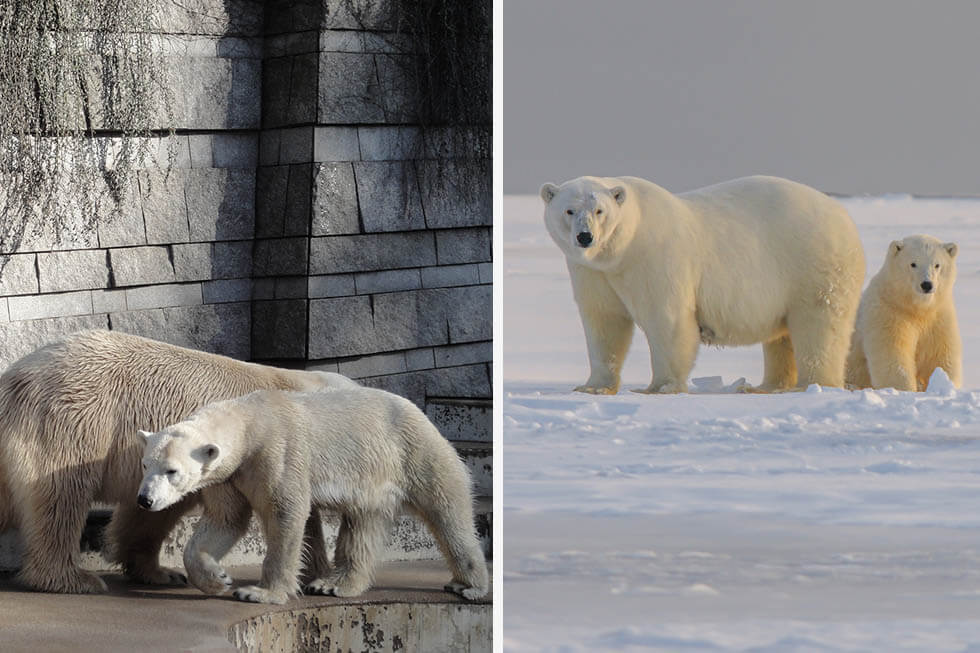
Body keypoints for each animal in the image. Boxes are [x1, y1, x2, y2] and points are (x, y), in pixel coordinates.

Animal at [0, 328, 356, 592]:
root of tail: (13, 381)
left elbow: (153, 512)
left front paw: (158, 571)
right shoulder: (233, 452)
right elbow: (232, 510)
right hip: (72, 423)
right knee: (60, 498)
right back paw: (74, 579)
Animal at [138, 384, 490, 604]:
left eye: (171, 471)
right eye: (145, 464)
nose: (145, 499)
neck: (251, 421)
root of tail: (422, 414)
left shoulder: (277, 452)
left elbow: (286, 512)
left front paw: (259, 593)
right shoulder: (230, 476)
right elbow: (226, 520)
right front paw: (217, 578)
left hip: (413, 453)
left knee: (447, 510)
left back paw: (469, 585)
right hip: (372, 479)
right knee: (362, 527)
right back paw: (333, 584)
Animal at [540, 174, 868, 392]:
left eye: (600, 210)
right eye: (569, 210)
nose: (585, 237)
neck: (623, 249)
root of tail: (843, 216)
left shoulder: (655, 258)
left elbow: (667, 320)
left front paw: (660, 387)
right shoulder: (592, 272)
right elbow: (604, 322)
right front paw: (592, 387)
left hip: (813, 265)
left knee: (819, 326)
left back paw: (813, 384)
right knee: (782, 336)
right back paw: (766, 386)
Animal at [848, 233, 960, 390]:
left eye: (937, 265)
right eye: (913, 264)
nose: (927, 285)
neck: (916, 308)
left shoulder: (938, 316)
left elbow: (939, 355)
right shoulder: (889, 313)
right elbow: (893, 355)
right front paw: (905, 389)